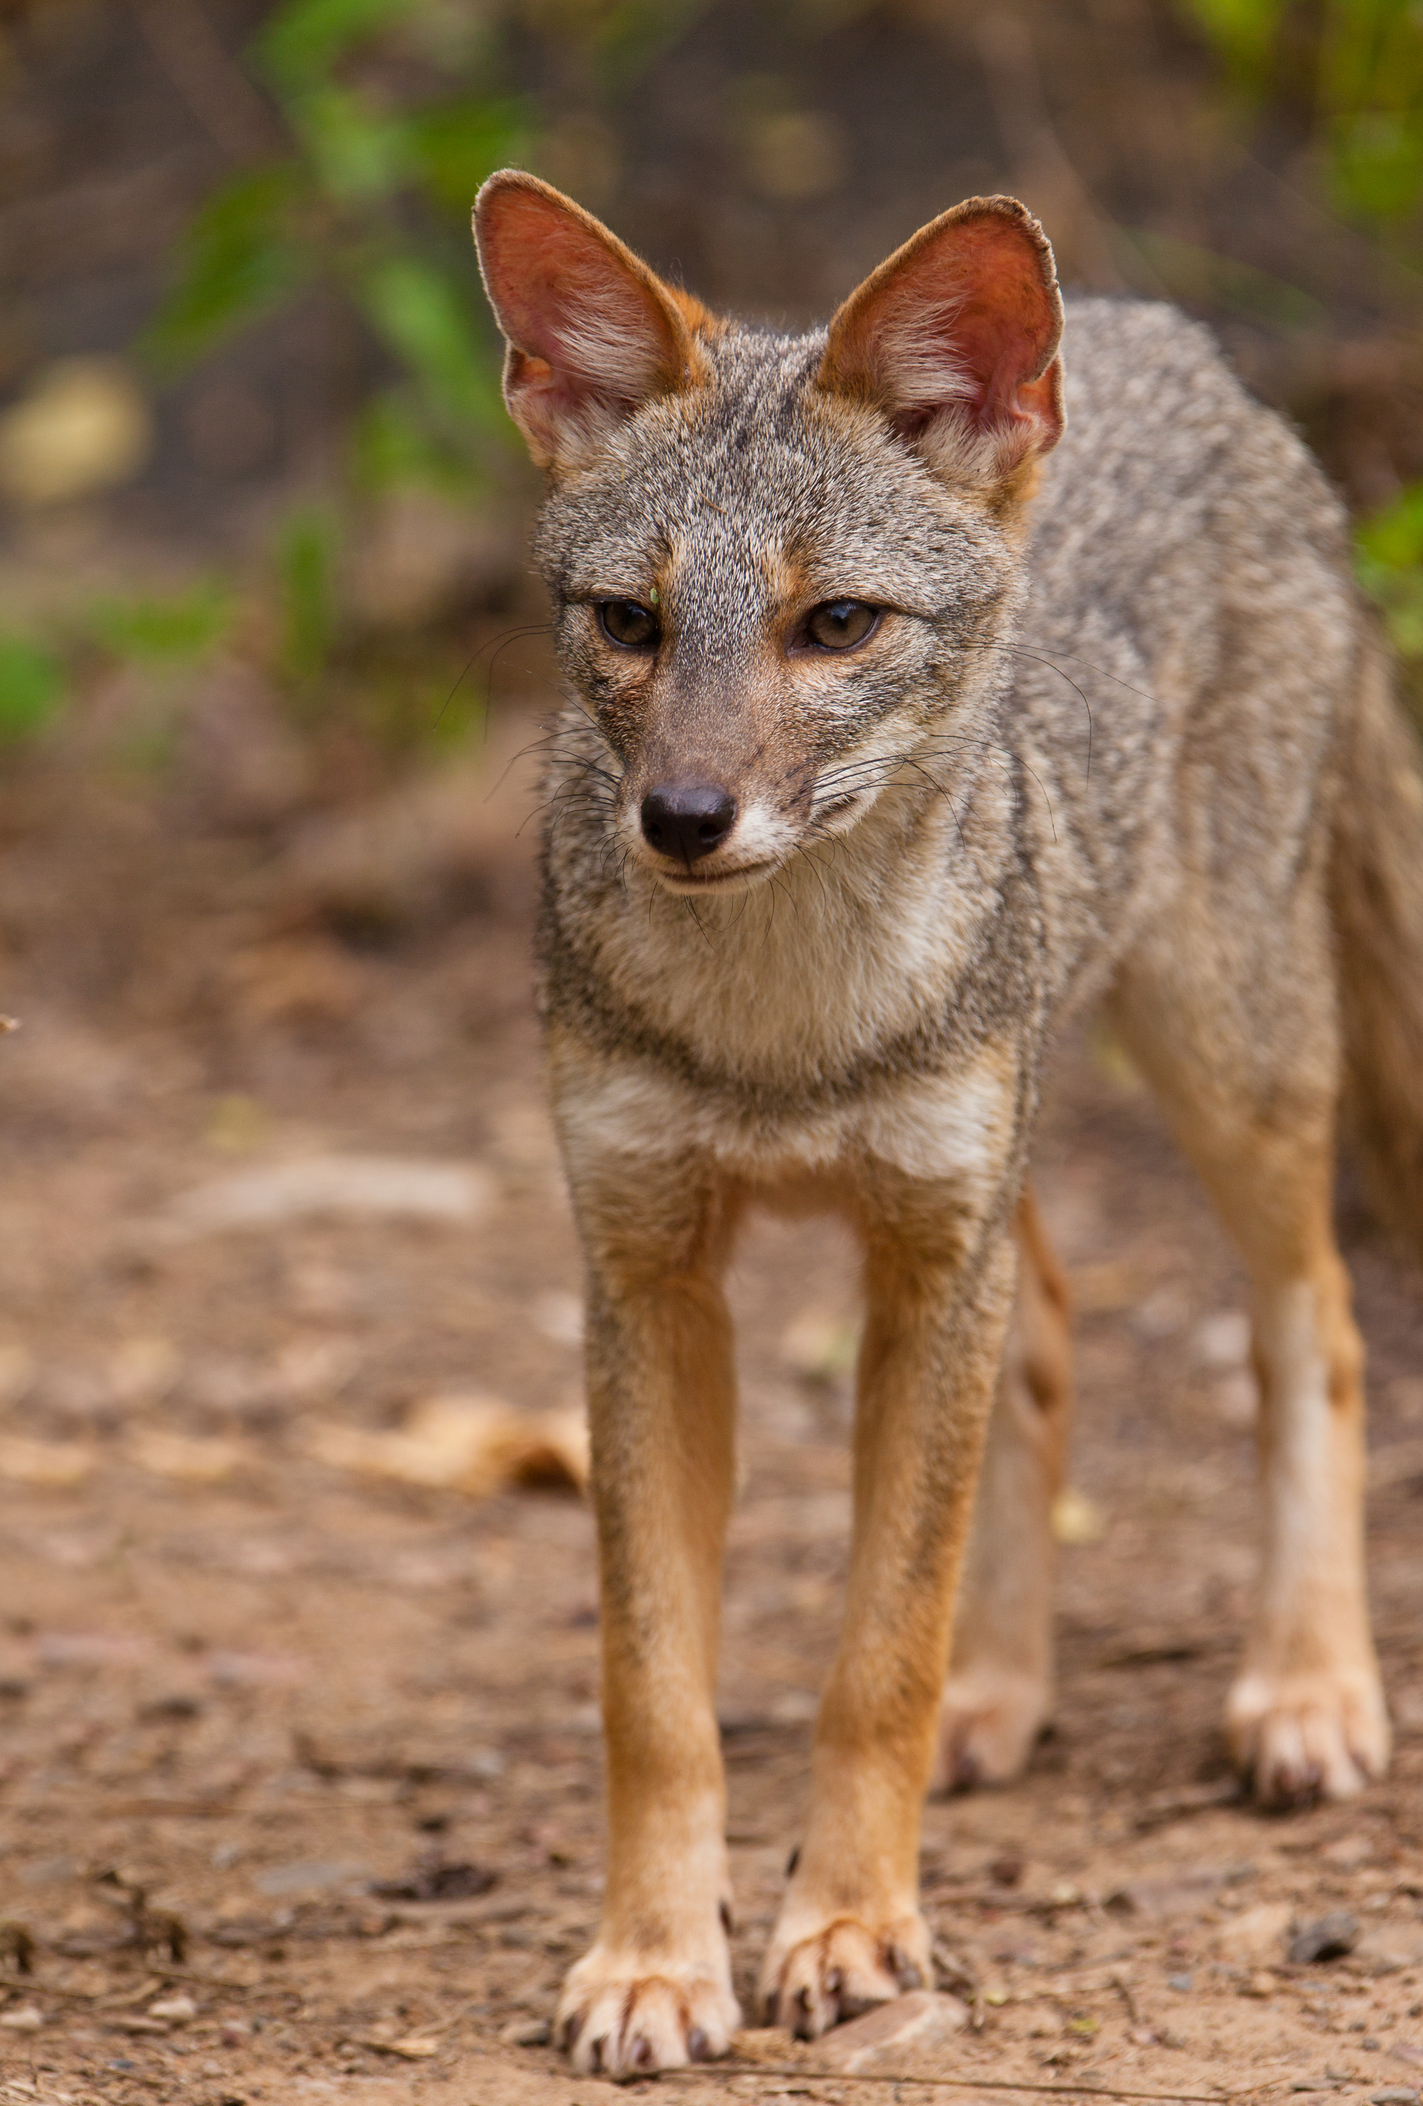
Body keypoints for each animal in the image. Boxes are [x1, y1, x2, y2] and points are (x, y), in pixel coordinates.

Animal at [471, 169, 1423, 2077]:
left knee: (1319, 1330)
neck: (780, 1034)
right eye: (627, 622)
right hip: (1016, 1165)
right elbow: (655, 1689)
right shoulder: (648, 1277)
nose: (684, 816)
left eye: (833, 625)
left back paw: (1303, 1688)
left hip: (1221, 1063)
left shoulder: (923, 1246)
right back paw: (1009, 1693)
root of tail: (1175, 337)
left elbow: (873, 1656)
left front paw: (848, 1928)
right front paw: (650, 1960)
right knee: (1047, 1342)